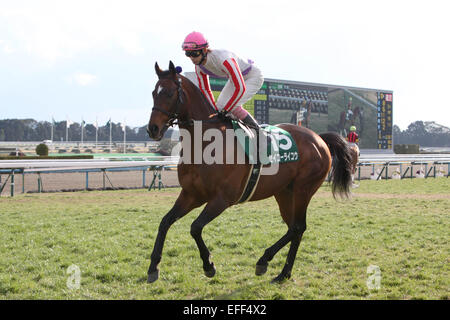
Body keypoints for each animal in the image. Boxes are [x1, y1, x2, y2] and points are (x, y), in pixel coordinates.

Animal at [146, 61, 354, 284]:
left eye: (169, 93)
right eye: (153, 93)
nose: (153, 128)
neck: (205, 143)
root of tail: (319, 138)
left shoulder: (222, 198)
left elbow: (195, 227)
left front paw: (208, 265)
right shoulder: (192, 194)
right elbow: (165, 222)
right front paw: (153, 267)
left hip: (303, 189)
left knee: (298, 227)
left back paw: (267, 262)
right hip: (284, 192)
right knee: (295, 228)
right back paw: (283, 272)